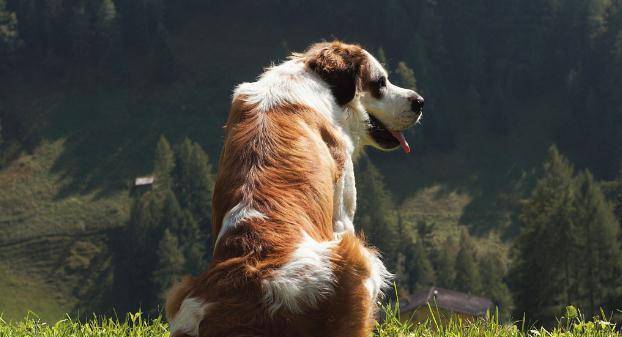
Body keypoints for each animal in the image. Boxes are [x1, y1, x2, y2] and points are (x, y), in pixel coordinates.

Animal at [166, 41, 426, 336]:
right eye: (380, 82)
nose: (419, 101)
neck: (310, 77)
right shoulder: (341, 213)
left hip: (181, 292)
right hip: (357, 258)